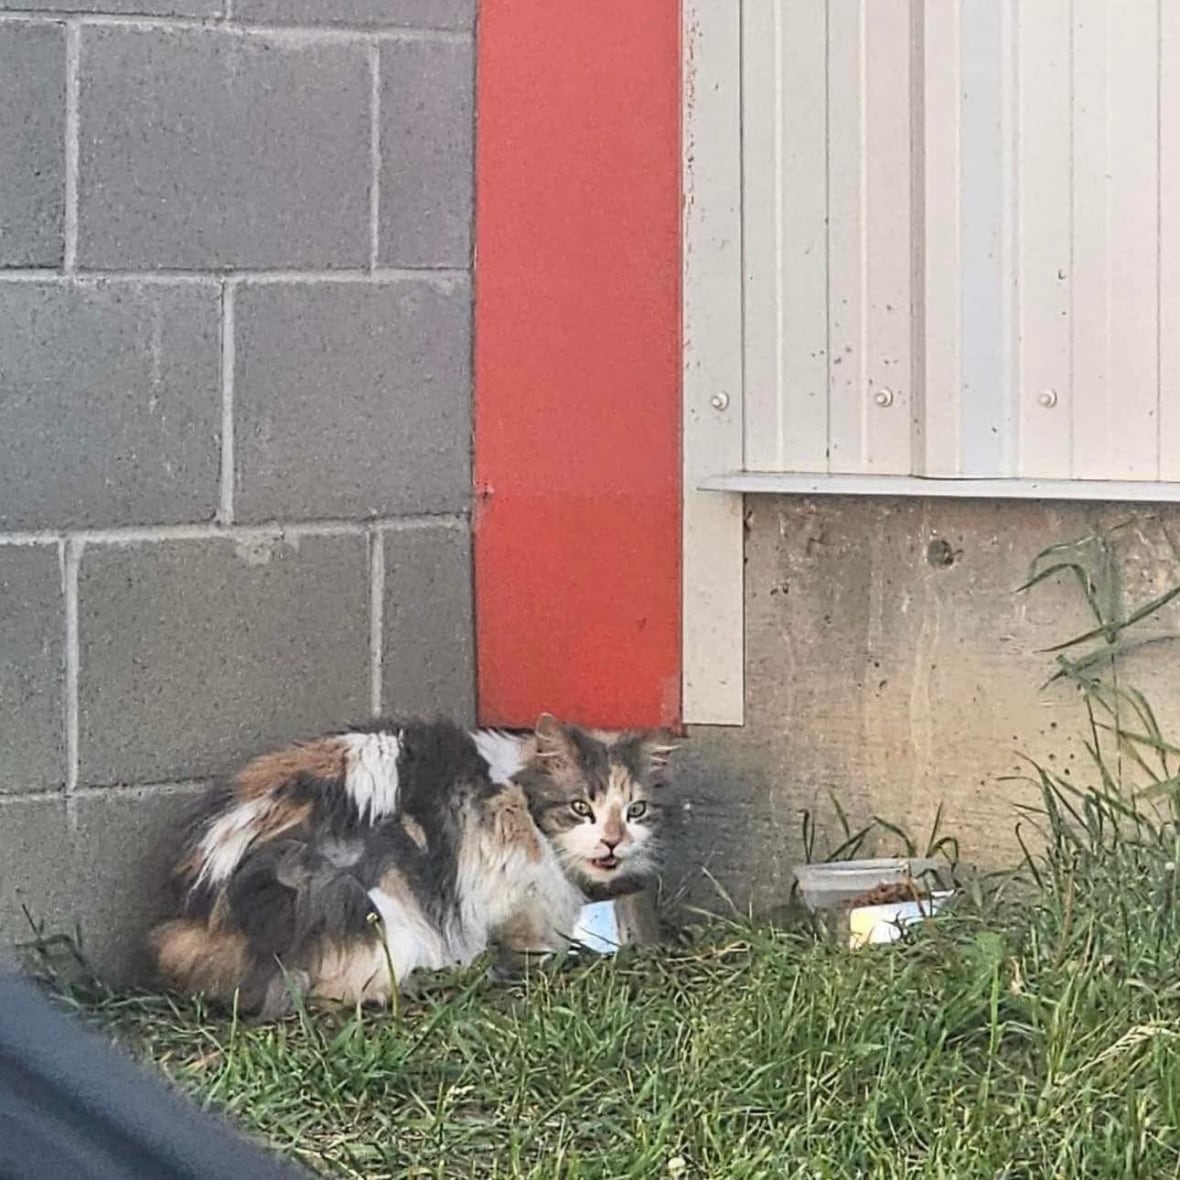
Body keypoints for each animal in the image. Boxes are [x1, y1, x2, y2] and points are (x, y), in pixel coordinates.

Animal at [152, 712, 679, 1019]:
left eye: (636, 811)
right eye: (580, 808)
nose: (612, 841)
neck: (523, 800)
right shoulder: (511, 887)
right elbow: (528, 933)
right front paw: (541, 959)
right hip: (377, 910)